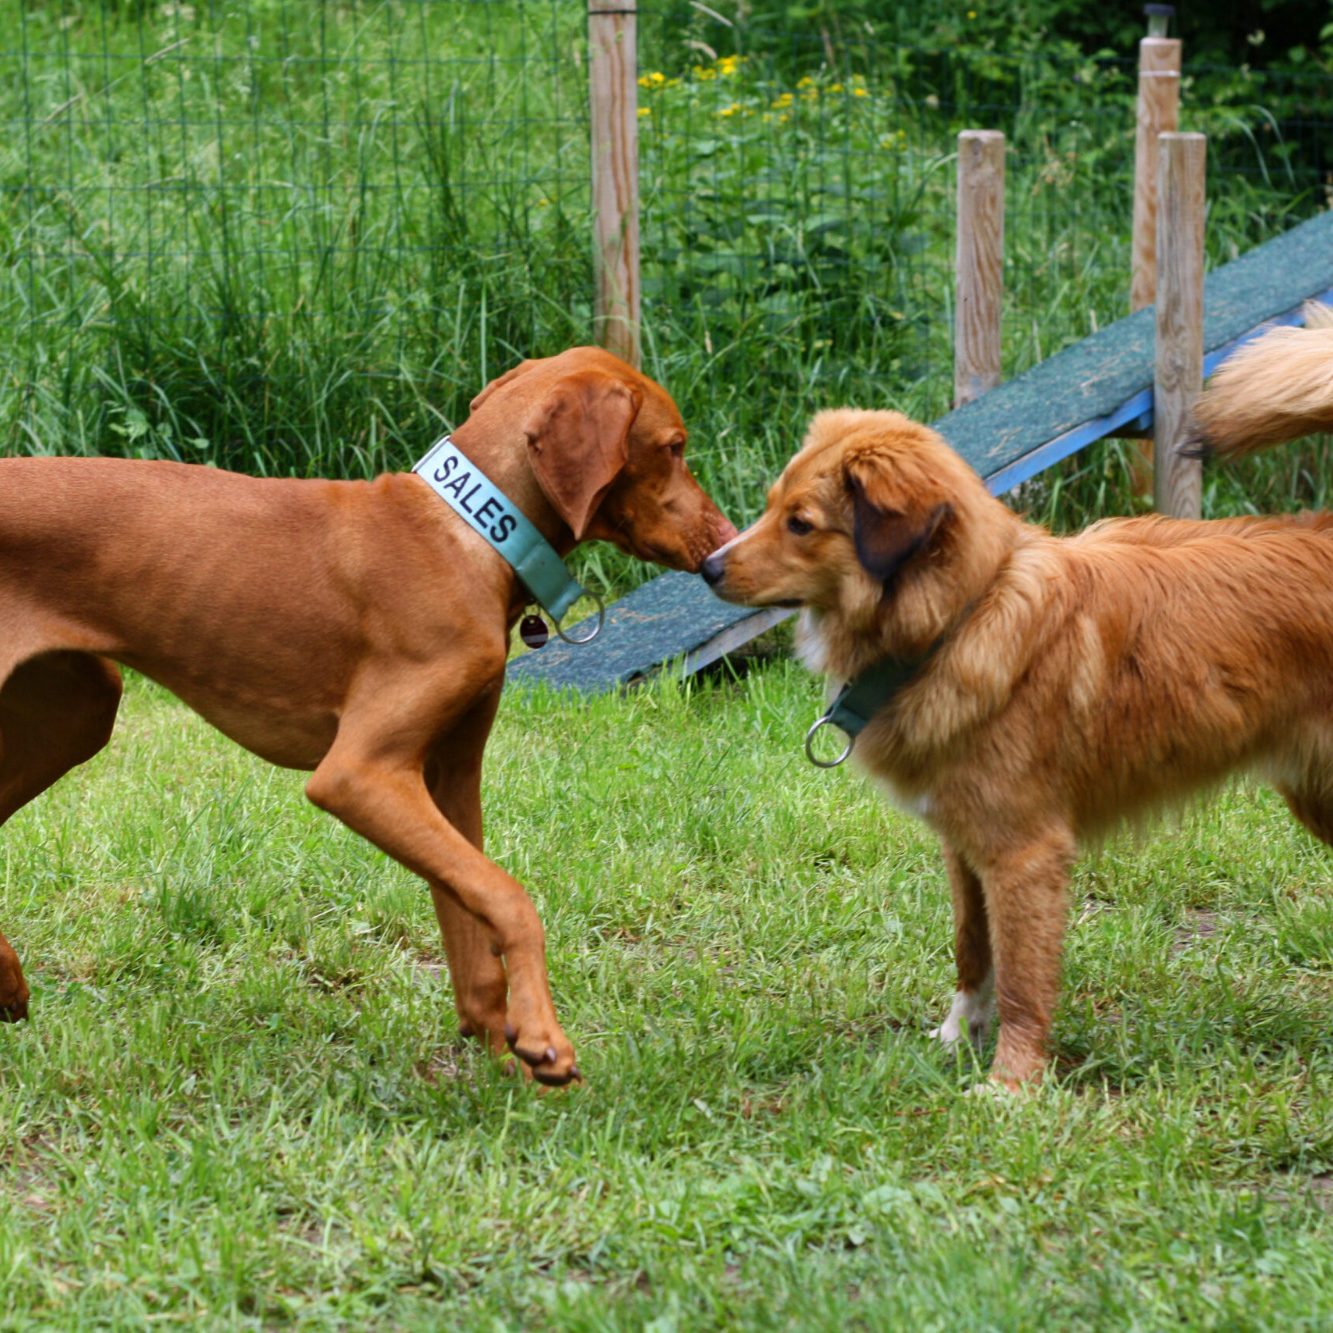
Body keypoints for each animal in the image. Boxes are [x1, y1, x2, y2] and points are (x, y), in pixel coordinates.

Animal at [0, 343, 741, 1082]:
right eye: (673, 446)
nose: (725, 542)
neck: (471, 533)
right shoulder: (360, 775)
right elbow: (508, 896)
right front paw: (542, 1036)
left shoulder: (446, 777)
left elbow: (469, 920)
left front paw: (498, 1055)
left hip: (82, 705)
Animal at [703, 383, 1327, 1082]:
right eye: (771, 507)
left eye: (801, 523)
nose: (706, 567)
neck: (960, 620)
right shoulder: (964, 842)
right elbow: (972, 950)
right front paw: (960, 1036)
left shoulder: (1024, 852)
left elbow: (1023, 980)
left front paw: (1012, 1082)